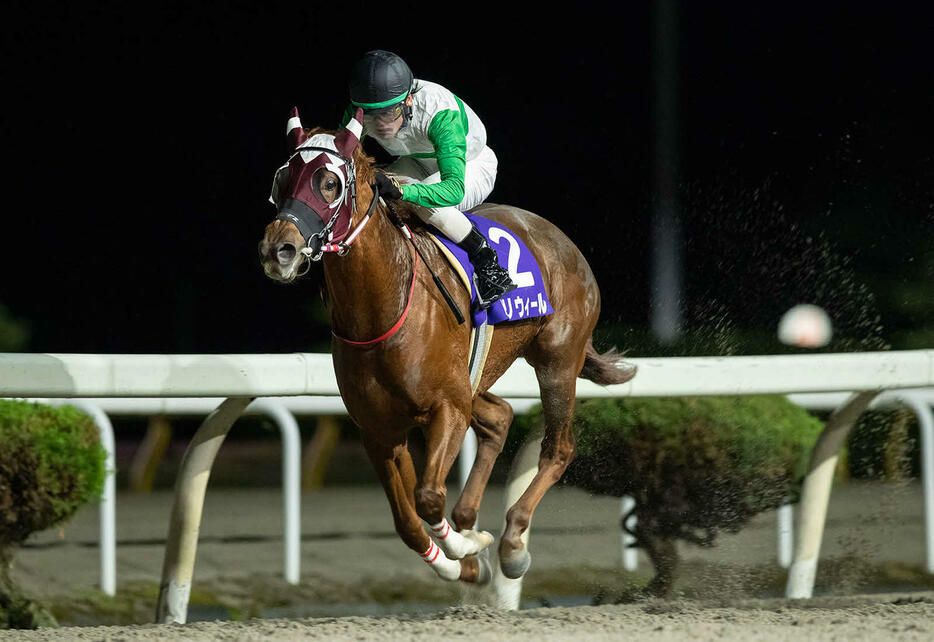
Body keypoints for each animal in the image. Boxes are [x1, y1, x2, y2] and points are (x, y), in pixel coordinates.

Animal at [258, 107, 636, 584]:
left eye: (330, 183)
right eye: (281, 179)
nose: (279, 250)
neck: (384, 310)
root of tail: (559, 238)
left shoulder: (447, 408)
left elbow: (428, 496)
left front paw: (466, 547)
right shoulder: (379, 427)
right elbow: (406, 520)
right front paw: (458, 562)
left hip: (557, 361)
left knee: (558, 447)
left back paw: (513, 543)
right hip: (477, 377)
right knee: (499, 417)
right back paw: (473, 524)